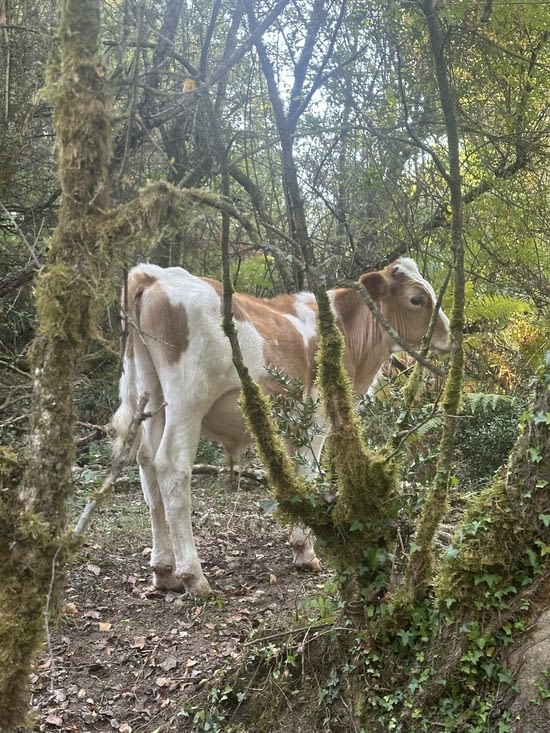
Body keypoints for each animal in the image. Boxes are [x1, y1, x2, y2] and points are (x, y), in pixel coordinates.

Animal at [111, 258, 451, 595]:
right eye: (417, 300)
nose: (449, 336)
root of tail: (155, 274)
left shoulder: (293, 427)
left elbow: (295, 480)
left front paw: (298, 544)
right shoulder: (316, 422)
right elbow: (310, 476)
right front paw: (307, 551)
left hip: (150, 397)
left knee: (147, 467)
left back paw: (163, 571)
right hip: (187, 401)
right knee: (171, 468)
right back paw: (193, 576)